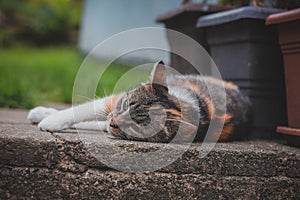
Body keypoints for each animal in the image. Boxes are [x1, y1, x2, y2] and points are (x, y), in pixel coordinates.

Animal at [28, 60, 252, 142]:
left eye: (136, 127)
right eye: (125, 104)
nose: (113, 122)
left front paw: (49, 120)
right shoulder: (112, 102)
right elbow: (84, 110)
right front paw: (50, 118)